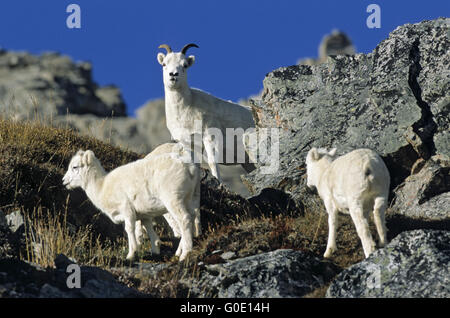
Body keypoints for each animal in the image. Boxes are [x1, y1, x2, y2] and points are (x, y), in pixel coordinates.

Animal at [61, 142, 200, 260]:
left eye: (75, 167)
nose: (64, 181)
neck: (101, 186)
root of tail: (189, 167)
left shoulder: (127, 211)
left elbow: (129, 229)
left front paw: (131, 254)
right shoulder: (144, 216)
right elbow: (149, 229)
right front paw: (155, 250)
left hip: (173, 200)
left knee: (184, 220)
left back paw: (184, 255)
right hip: (189, 199)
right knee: (191, 218)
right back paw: (179, 252)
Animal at [157, 42, 256, 181]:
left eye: (185, 65)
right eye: (164, 64)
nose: (173, 75)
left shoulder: (210, 137)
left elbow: (212, 162)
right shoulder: (187, 144)